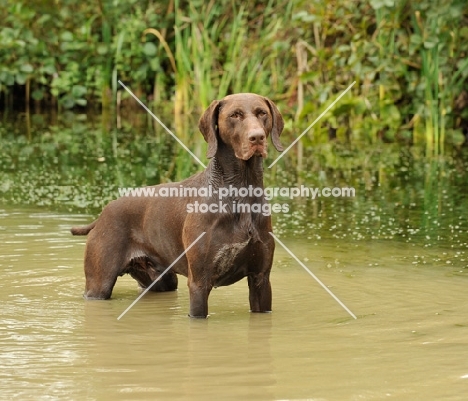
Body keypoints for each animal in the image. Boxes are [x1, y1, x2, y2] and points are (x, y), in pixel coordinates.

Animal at [71, 92, 284, 318]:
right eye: (235, 115)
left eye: (262, 113)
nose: (257, 137)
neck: (241, 191)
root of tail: (103, 214)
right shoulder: (199, 283)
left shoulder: (261, 279)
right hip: (99, 284)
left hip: (162, 280)